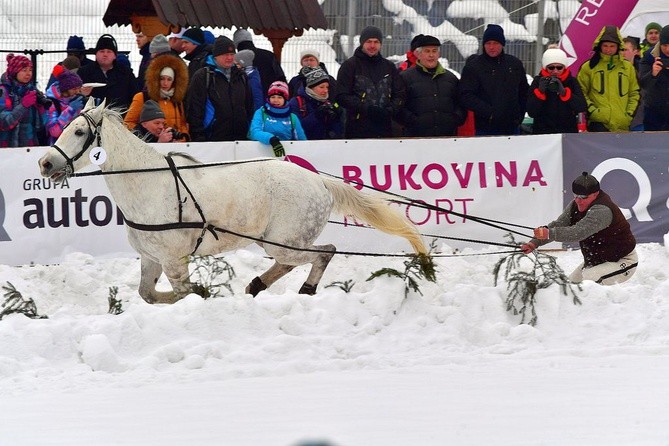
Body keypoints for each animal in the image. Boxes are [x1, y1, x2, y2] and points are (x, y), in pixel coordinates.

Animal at [37, 100, 434, 304]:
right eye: (65, 126)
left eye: (79, 131)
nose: (45, 164)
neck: (148, 185)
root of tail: (318, 180)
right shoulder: (151, 257)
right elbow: (148, 293)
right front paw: (200, 292)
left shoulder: (174, 259)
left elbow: (182, 292)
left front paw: (202, 293)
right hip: (275, 242)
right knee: (295, 262)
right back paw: (256, 285)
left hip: (287, 242)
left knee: (324, 252)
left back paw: (304, 289)